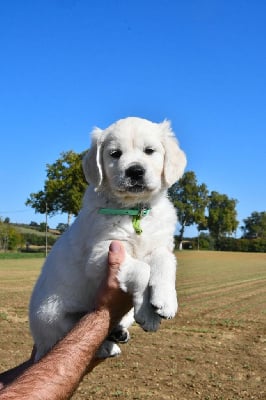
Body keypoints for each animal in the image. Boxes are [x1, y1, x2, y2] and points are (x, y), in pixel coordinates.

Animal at [29, 115, 186, 360]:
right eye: (115, 154)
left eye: (149, 151)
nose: (135, 171)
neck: (134, 211)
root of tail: (40, 344)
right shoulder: (101, 254)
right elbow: (142, 270)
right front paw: (146, 312)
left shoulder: (160, 245)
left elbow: (165, 262)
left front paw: (166, 300)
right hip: (52, 317)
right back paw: (105, 346)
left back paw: (118, 333)